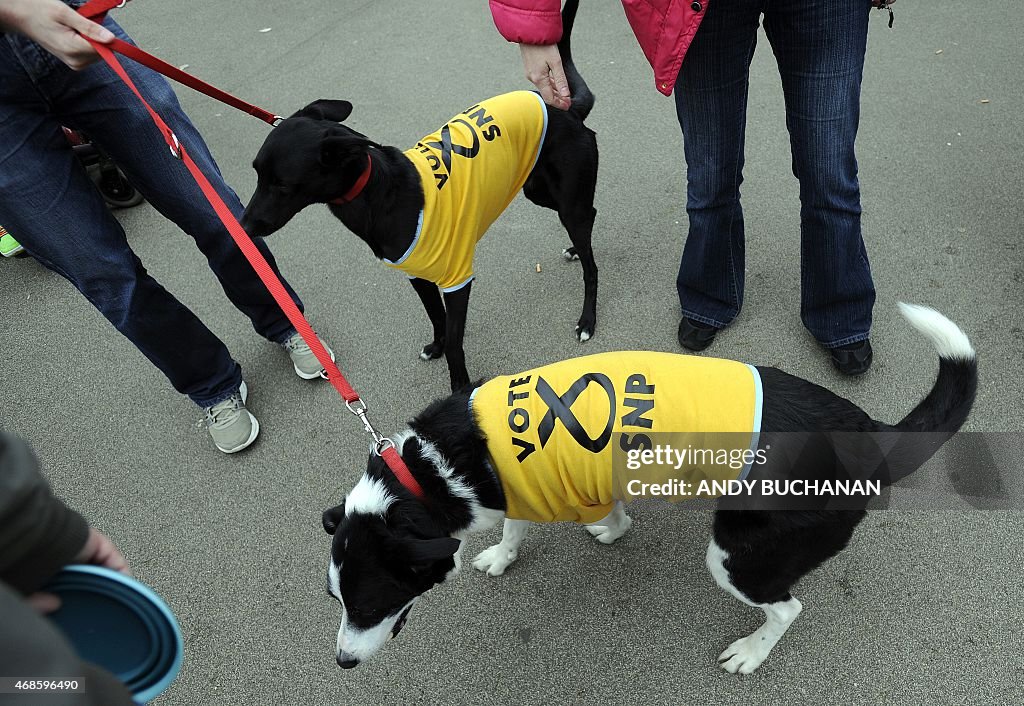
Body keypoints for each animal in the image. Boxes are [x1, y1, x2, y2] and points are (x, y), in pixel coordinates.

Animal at [242, 0, 598, 391]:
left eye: (282, 185)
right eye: (256, 173)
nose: (243, 226)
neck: (382, 193)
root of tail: (567, 111)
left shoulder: (458, 280)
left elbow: (456, 341)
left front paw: (460, 386)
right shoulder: (419, 276)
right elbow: (436, 319)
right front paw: (437, 347)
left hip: (567, 199)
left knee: (590, 258)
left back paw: (587, 318)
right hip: (537, 188)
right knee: (588, 218)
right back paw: (575, 248)